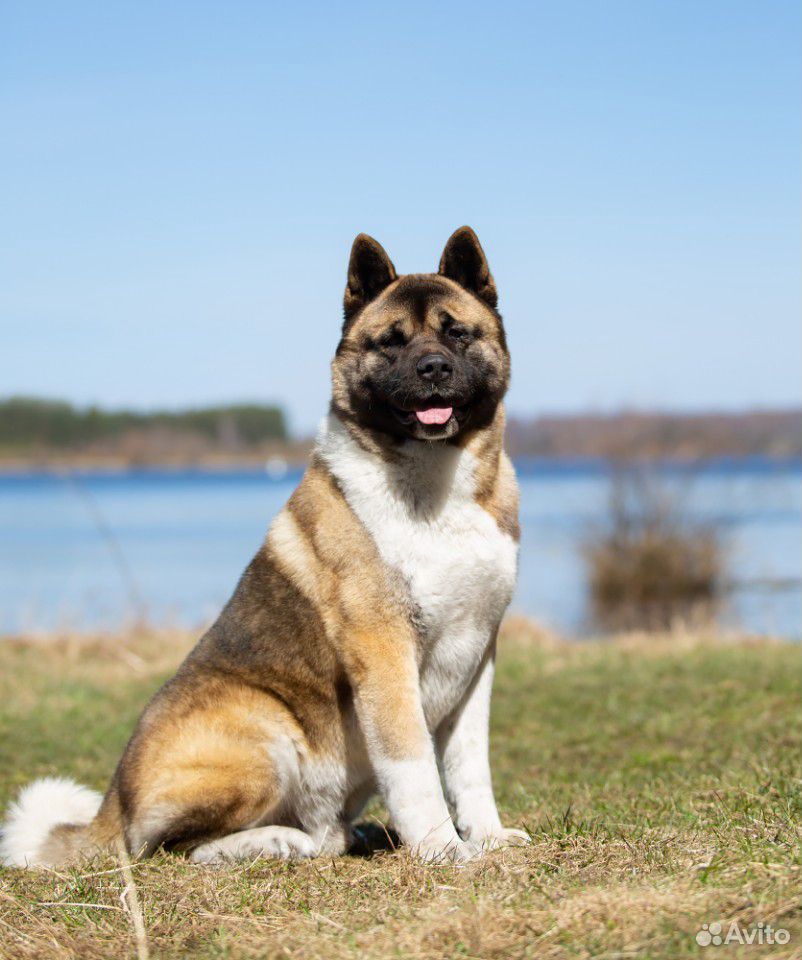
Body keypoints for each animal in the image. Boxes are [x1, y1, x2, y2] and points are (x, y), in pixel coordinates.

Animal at [1, 227, 524, 872]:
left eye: (457, 333)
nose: (432, 367)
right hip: (266, 728)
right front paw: (442, 848)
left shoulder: (477, 655)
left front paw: (487, 838)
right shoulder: (384, 653)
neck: (435, 483)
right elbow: (414, 765)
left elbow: (469, 768)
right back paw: (276, 841)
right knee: (171, 847)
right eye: (391, 342)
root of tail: (111, 807)